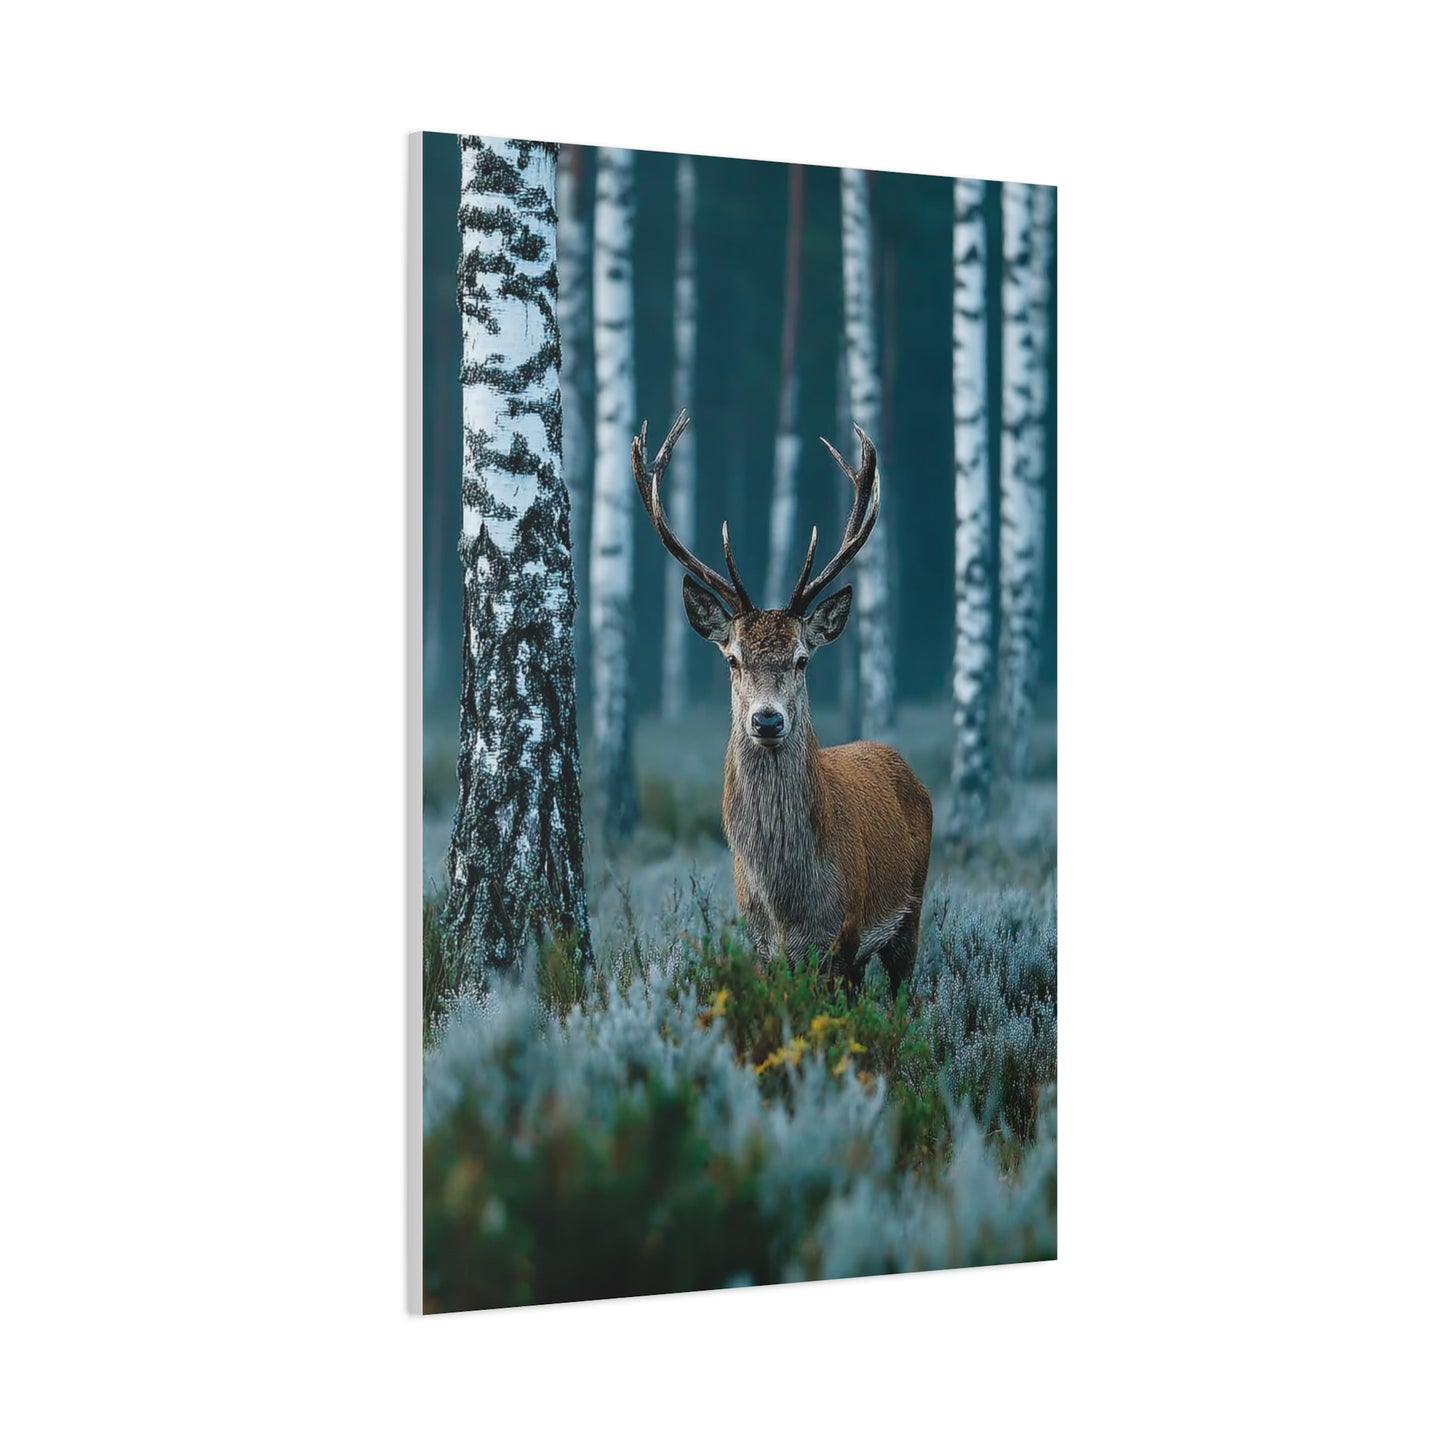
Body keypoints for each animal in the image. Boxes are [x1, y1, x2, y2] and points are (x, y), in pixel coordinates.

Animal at [633, 411, 933, 993]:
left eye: (802, 659)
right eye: (733, 658)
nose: (767, 719)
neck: (788, 907)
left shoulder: (844, 936)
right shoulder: (762, 948)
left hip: (911, 910)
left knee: (902, 994)